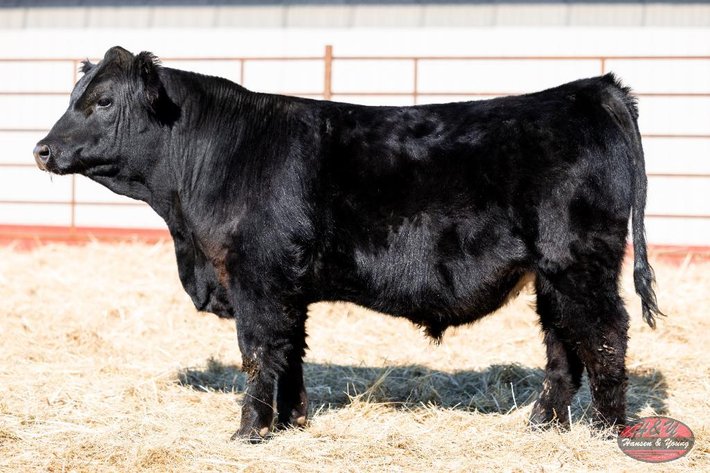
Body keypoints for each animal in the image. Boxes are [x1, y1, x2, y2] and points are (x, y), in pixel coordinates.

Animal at [34, 46, 663, 441]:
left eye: (103, 101)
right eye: (72, 95)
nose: (41, 149)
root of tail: (594, 90)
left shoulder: (257, 278)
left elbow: (259, 351)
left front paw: (248, 431)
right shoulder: (286, 285)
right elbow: (290, 353)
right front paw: (290, 422)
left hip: (581, 262)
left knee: (606, 336)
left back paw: (607, 431)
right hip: (552, 274)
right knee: (564, 345)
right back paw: (543, 425)